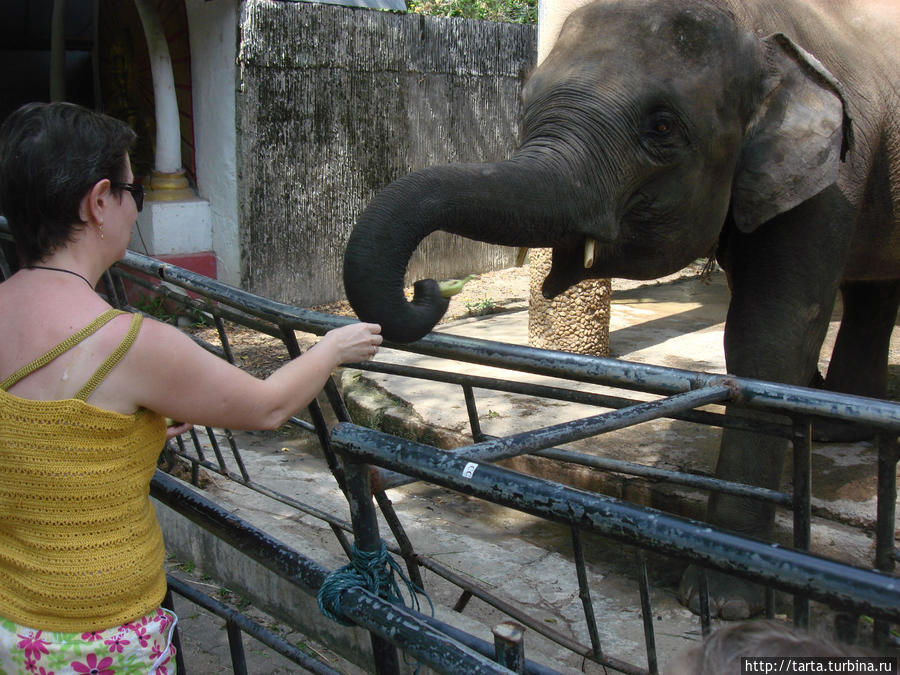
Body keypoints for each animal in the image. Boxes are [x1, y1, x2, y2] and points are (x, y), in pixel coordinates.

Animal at [342, 0, 896, 620]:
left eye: (662, 127)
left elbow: (771, 338)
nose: (430, 288)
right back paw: (836, 430)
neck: (755, 25)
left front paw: (722, 601)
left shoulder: (832, 175)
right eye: (524, 108)